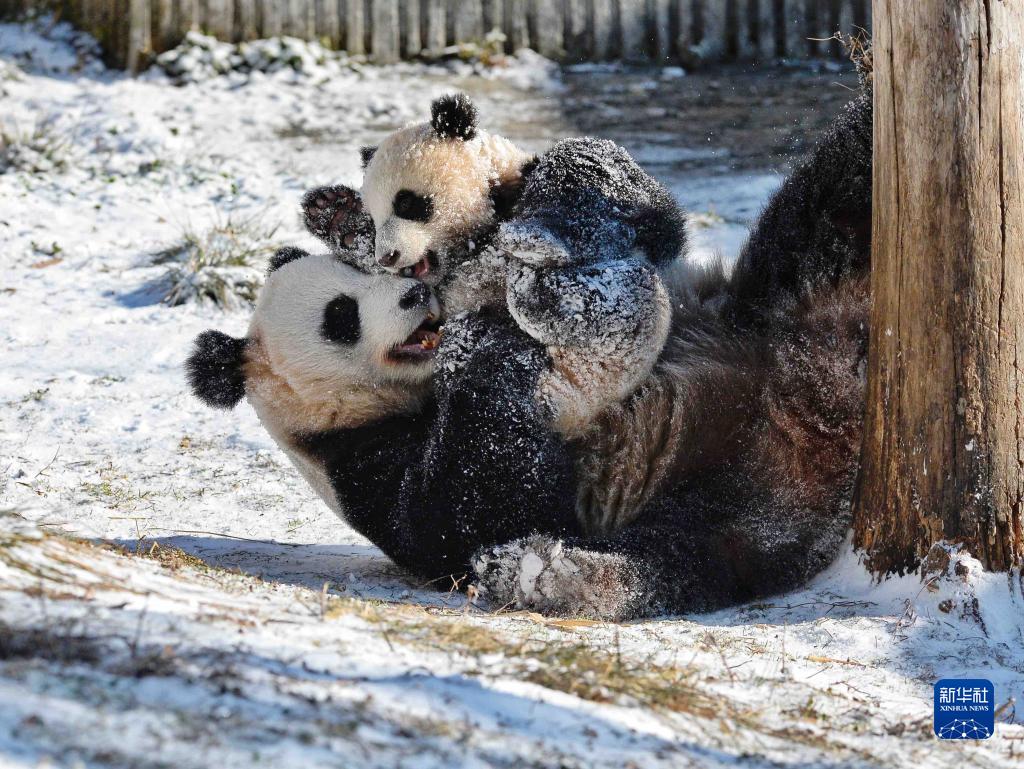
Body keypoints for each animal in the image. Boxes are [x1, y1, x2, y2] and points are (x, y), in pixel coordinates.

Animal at [299, 93, 692, 436]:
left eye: (407, 203)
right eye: (377, 217)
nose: (389, 257)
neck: (479, 239)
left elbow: (612, 181)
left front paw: (542, 229)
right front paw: (337, 216)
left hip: (621, 342)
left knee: (616, 304)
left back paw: (536, 276)